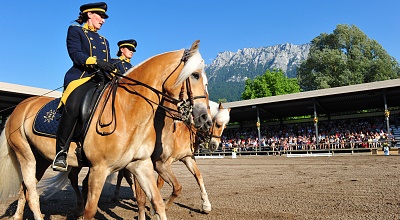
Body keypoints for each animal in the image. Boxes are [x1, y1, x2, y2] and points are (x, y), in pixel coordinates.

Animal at [0, 40, 212, 220]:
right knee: (33, 195)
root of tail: (19, 107)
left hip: (41, 159)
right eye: (195, 75)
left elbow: (157, 202)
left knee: (25, 189)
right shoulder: (100, 169)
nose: (205, 118)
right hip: (26, 156)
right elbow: (91, 210)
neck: (129, 109)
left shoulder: (141, 164)